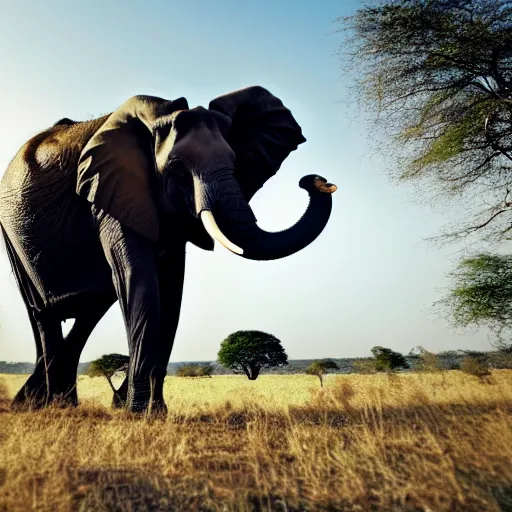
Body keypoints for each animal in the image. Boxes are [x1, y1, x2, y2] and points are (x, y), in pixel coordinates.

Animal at [0, 86, 336, 414]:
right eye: (177, 168)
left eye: (235, 161)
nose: (316, 181)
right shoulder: (112, 190)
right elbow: (140, 278)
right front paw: (137, 413)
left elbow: (172, 289)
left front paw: (151, 411)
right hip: (12, 234)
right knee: (43, 312)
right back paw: (49, 406)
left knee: (91, 309)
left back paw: (44, 403)